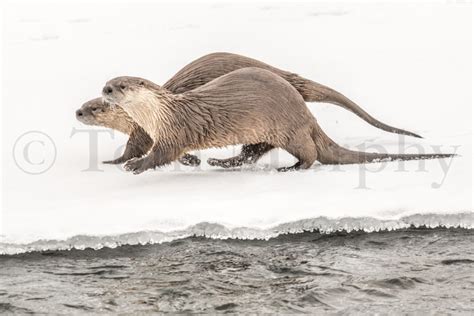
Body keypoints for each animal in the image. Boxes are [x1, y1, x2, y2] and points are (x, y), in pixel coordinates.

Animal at [102, 68, 454, 175]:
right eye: (108, 82)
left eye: (122, 85)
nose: (105, 89)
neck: (159, 114)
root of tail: (308, 115)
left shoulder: (175, 131)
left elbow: (162, 154)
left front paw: (135, 165)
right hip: (264, 131)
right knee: (252, 152)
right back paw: (220, 162)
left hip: (289, 130)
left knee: (310, 154)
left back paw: (292, 168)